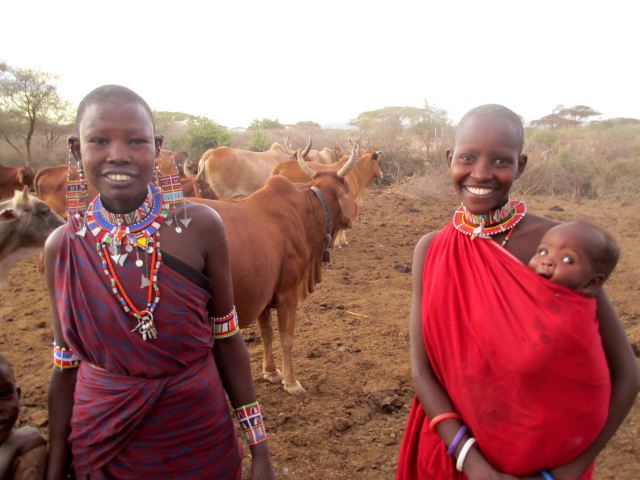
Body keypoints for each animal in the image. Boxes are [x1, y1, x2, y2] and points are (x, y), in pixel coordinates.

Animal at [188, 147, 362, 398]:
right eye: (346, 188)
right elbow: (287, 337)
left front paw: (270, 372)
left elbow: (266, 333)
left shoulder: (263, 294)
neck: (306, 212)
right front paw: (292, 382)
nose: (355, 212)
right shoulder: (288, 294)